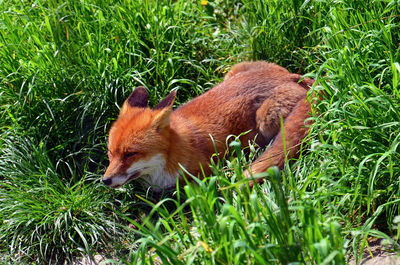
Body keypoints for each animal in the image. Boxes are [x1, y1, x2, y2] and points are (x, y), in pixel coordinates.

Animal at [104, 60, 316, 189]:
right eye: (111, 153)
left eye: (130, 154)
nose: (105, 180)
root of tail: (293, 76)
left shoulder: (204, 173)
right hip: (232, 71)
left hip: (266, 119)